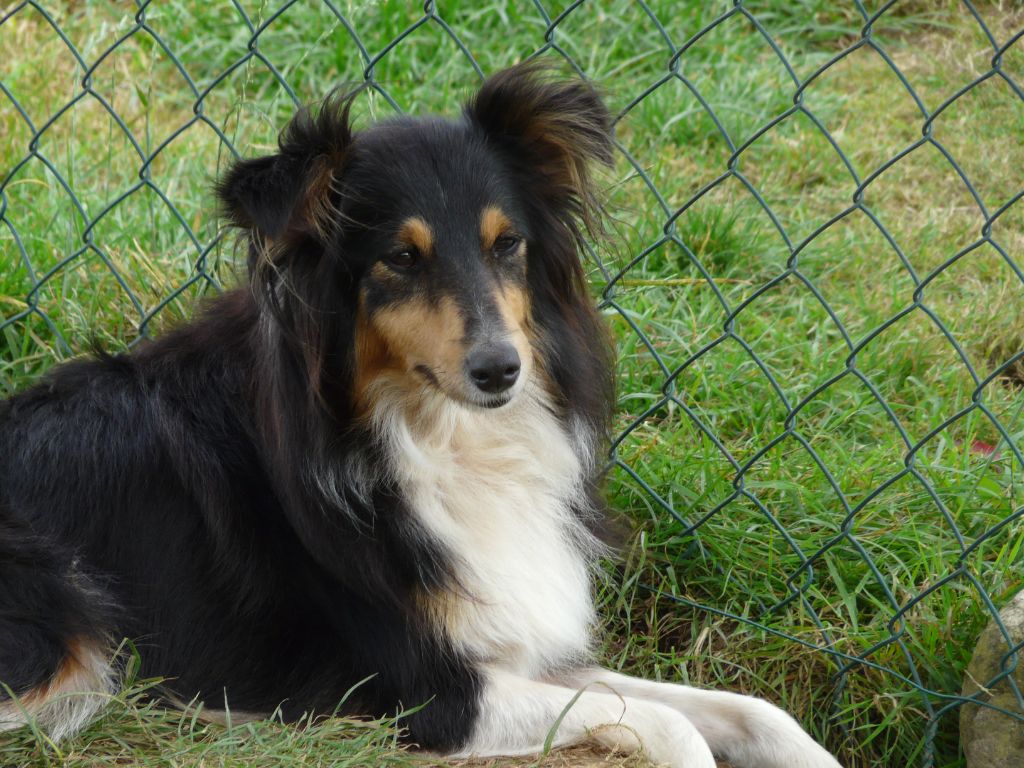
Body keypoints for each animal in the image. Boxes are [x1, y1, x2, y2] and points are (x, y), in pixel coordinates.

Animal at [0, 63, 839, 765]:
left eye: (508, 245)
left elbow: (747, 709)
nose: (502, 370)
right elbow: (670, 723)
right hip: (68, 616)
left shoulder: (515, 637)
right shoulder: (426, 692)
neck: (434, 435)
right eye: (400, 258)